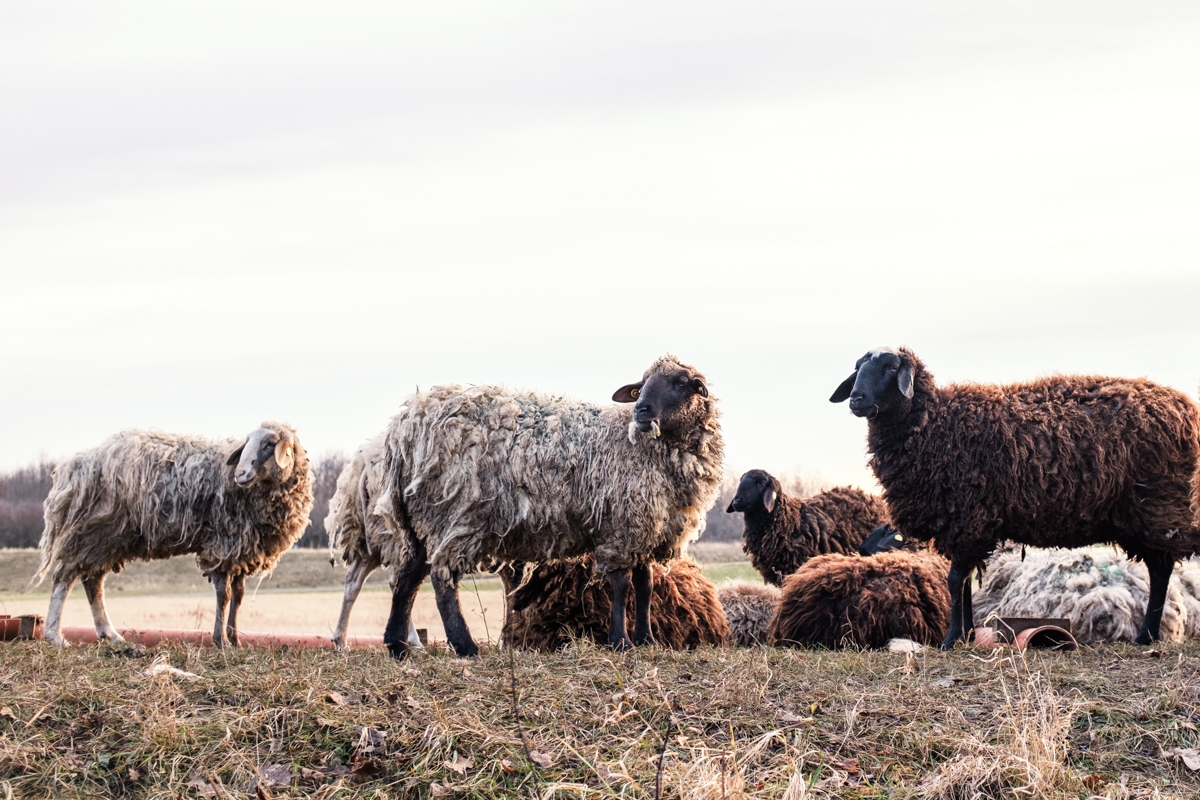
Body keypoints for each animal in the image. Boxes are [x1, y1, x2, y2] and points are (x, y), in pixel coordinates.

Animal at [34, 423, 314, 648]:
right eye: (249, 444)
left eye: (269, 444)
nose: (240, 474)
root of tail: (74, 466)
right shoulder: (222, 545)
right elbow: (224, 595)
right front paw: (220, 641)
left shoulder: (240, 549)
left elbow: (239, 595)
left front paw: (234, 639)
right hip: (92, 531)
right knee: (65, 577)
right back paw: (54, 636)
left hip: (108, 538)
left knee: (92, 581)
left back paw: (109, 634)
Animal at [325, 434, 421, 651]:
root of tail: (366, 464)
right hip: (394, 534)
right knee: (398, 581)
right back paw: (412, 641)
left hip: (372, 537)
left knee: (353, 581)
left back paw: (340, 639)